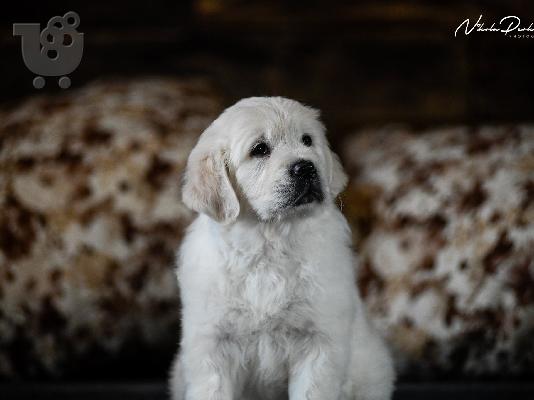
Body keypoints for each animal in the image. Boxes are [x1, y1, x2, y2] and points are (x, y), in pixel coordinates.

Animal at [170, 97, 396, 400]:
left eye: (307, 140)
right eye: (260, 149)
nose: (307, 168)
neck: (269, 242)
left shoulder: (319, 342)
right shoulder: (212, 344)